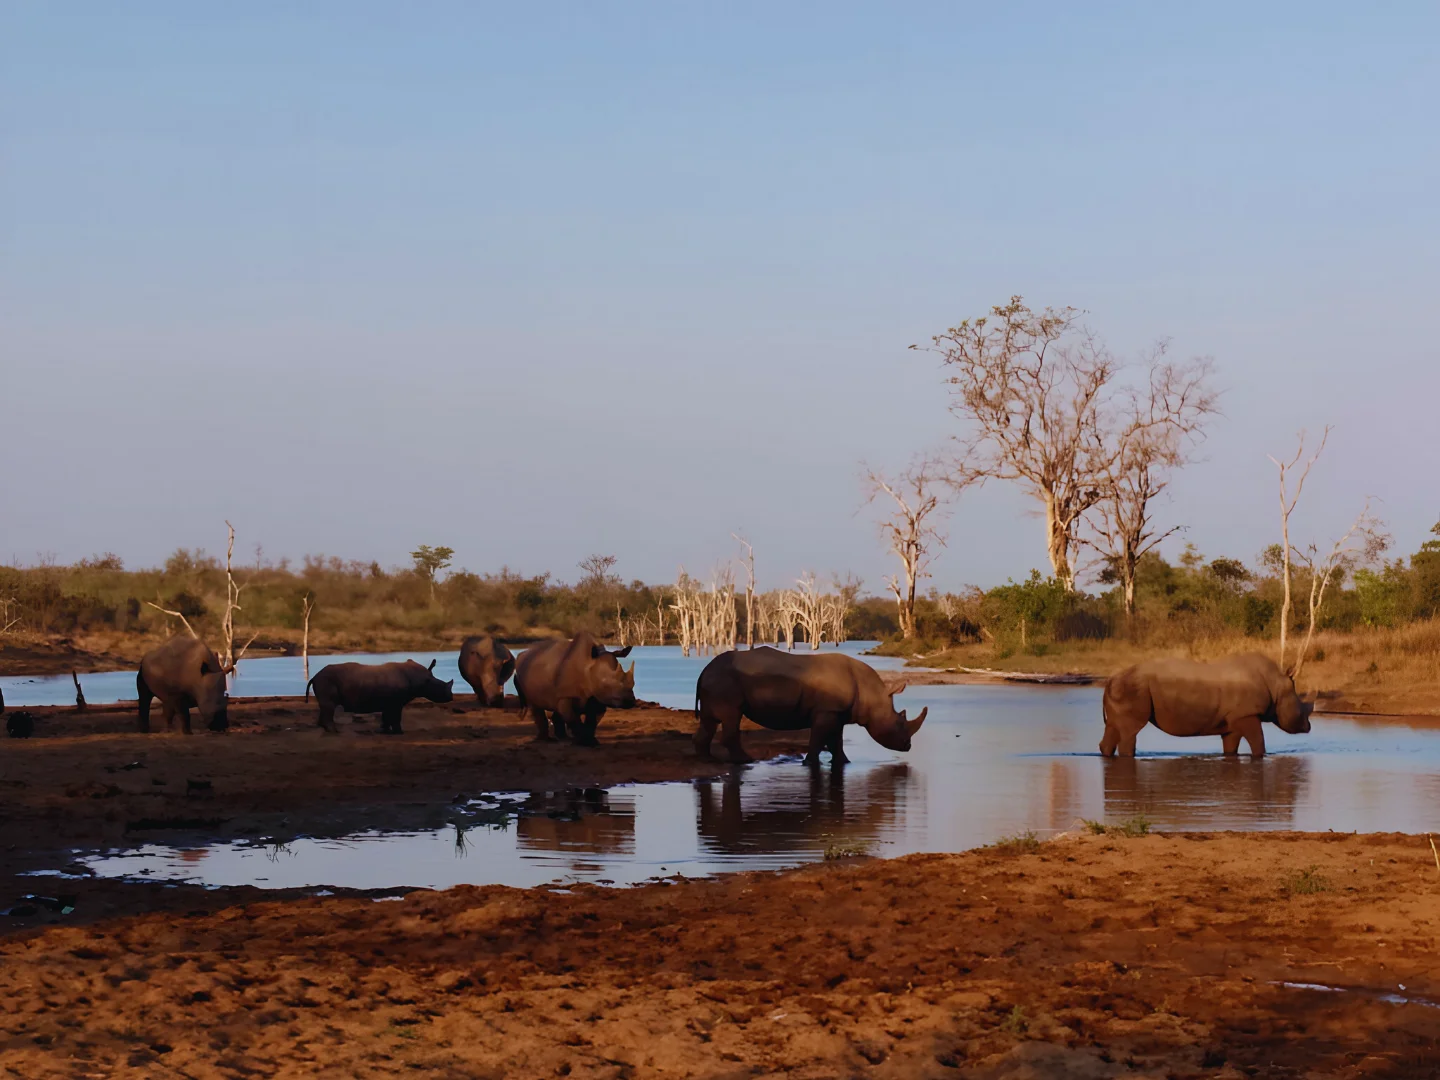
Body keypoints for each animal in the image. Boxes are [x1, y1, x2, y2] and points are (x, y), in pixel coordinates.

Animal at [305, 659, 454, 734]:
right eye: (440, 687)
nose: (451, 697)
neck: (423, 680)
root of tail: (315, 676)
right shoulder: (396, 702)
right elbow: (395, 717)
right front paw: (399, 732)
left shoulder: (390, 702)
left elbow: (386, 716)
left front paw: (384, 730)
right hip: (325, 680)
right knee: (329, 706)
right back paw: (334, 732)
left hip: (324, 680)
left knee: (325, 707)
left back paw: (325, 729)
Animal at [694, 647, 928, 765]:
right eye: (899, 723)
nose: (907, 746)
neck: (873, 694)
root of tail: (704, 670)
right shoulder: (827, 711)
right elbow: (819, 738)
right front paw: (810, 763)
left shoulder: (837, 712)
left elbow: (836, 741)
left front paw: (844, 762)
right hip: (724, 681)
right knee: (732, 717)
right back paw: (743, 761)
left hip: (715, 681)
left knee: (709, 720)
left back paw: (706, 759)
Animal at [1101, 653, 1314, 757]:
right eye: (1301, 710)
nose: (1309, 727)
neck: (1277, 684)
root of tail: (1110, 679)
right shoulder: (1247, 715)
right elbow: (1258, 741)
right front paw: (1261, 755)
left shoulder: (1234, 719)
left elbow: (1231, 745)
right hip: (1132, 688)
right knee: (1131, 730)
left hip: (1122, 689)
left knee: (1114, 727)